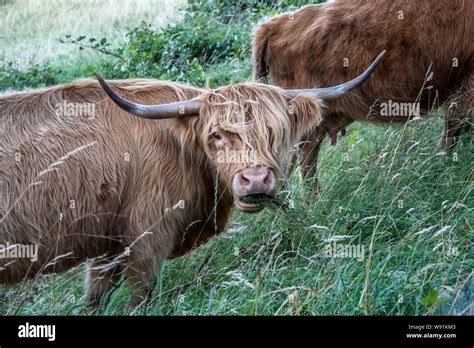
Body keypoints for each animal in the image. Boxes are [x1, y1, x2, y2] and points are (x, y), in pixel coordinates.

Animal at [0, 55, 382, 304]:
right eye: (216, 135)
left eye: (275, 132)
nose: (256, 180)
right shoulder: (146, 238)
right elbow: (138, 296)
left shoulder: (108, 244)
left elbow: (95, 298)